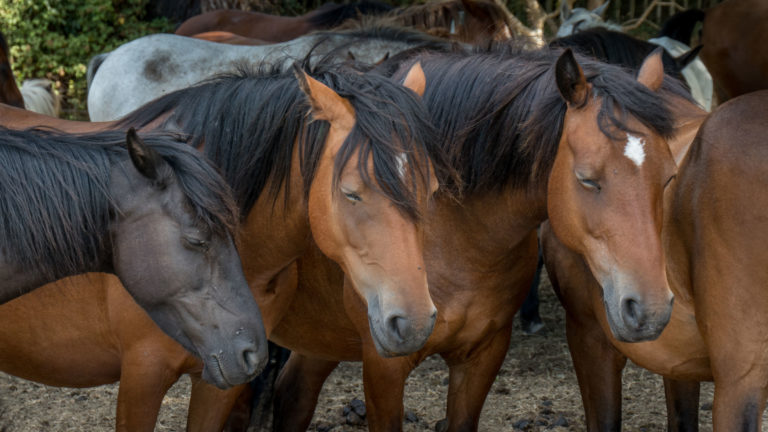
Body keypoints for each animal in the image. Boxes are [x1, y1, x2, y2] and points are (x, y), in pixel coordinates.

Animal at [204, 46, 691, 432]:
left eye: (669, 178)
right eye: (587, 179)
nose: (649, 309)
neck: (456, 236)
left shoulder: (482, 355)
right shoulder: (383, 365)